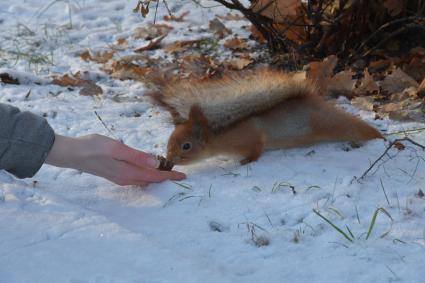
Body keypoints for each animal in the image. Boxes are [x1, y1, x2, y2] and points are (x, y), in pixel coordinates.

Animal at [148, 69, 380, 166]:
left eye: (186, 146)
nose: (169, 160)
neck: (217, 138)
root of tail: (311, 99)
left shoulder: (250, 138)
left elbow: (257, 149)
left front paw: (246, 161)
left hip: (328, 122)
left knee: (354, 127)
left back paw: (377, 137)